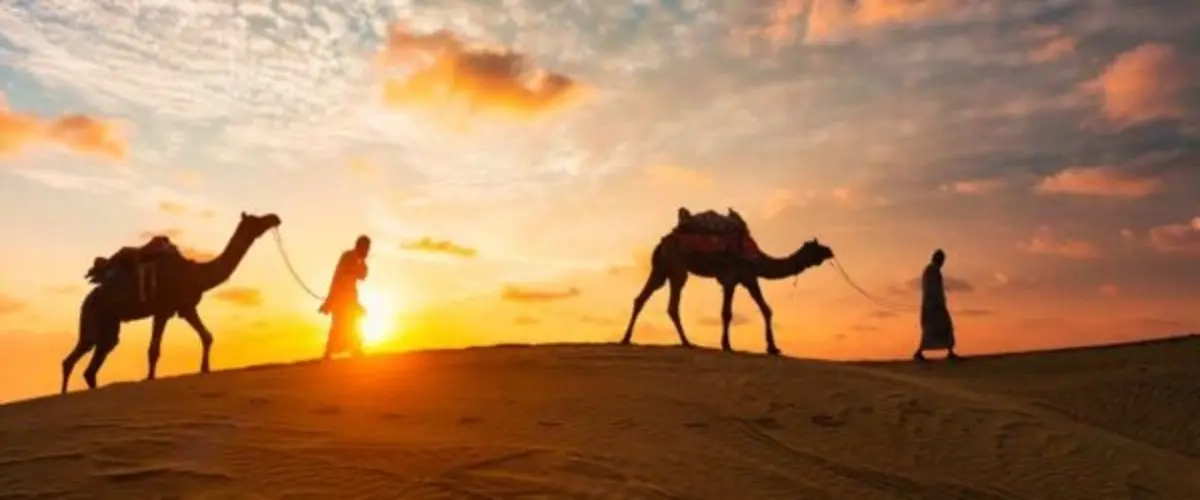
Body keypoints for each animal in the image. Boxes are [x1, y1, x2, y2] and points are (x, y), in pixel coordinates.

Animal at [63, 211, 283, 393]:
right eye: (256, 220)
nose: (275, 218)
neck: (196, 274)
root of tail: (88, 298)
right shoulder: (163, 310)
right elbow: (153, 351)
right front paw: (150, 379)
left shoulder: (186, 307)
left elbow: (207, 336)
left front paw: (205, 369)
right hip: (92, 314)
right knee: (80, 354)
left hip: (108, 323)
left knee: (93, 360)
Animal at [624, 206, 830, 354]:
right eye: (818, 248)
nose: (830, 251)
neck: (758, 258)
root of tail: (662, 242)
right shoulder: (733, 277)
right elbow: (727, 313)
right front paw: (727, 345)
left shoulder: (748, 278)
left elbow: (766, 309)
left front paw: (773, 348)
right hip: (677, 268)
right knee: (672, 305)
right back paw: (687, 342)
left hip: (660, 269)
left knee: (641, 298)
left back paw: (626, 339)